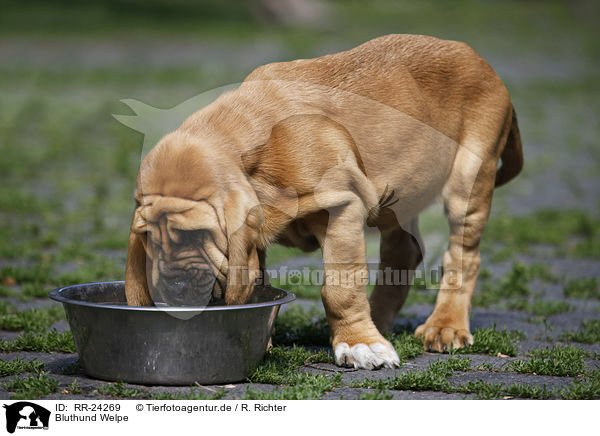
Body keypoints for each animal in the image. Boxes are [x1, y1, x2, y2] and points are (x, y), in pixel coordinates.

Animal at [124, 33, 524, 368]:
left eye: (198, 235)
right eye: (150, 241)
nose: (174, 288)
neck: (255, 160)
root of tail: (474, 56)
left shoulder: (342, 207)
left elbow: (339, 288)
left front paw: (359, 344)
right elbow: (258, 277)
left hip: (469, 178)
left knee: (462, 254)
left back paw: (445, 325)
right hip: (399, 194)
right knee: (404, 252)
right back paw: (380, 321)